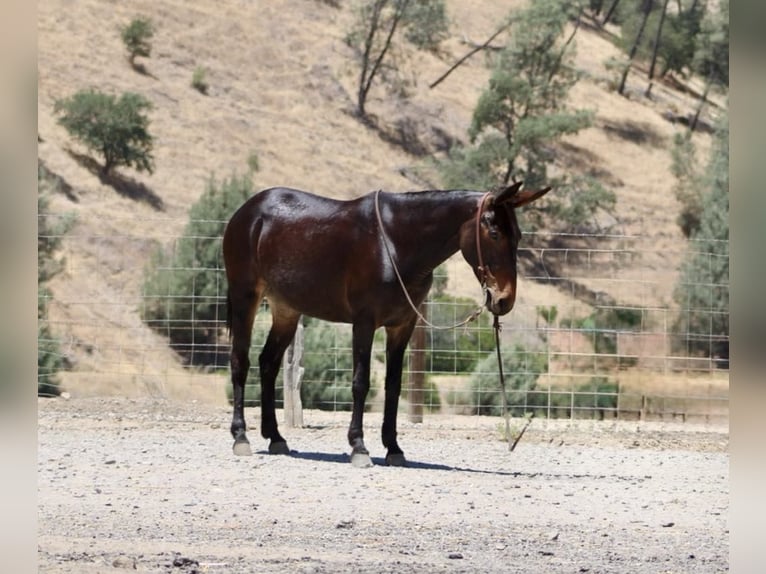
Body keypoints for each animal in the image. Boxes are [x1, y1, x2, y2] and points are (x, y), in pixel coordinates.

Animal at [222, 181, 550, 467]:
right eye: (494, 233)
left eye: (518, 235)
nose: (504, 300)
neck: (394, 243)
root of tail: (248, 211)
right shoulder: (364, 323)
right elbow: (361, 382)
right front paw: (359, 447)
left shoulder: (402, 326)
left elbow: (393, 386)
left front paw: (393, 448)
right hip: (245, 296)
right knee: (240, 362)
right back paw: (240, 437)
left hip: (287, 309)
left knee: (268, 363)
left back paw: (275, 437)